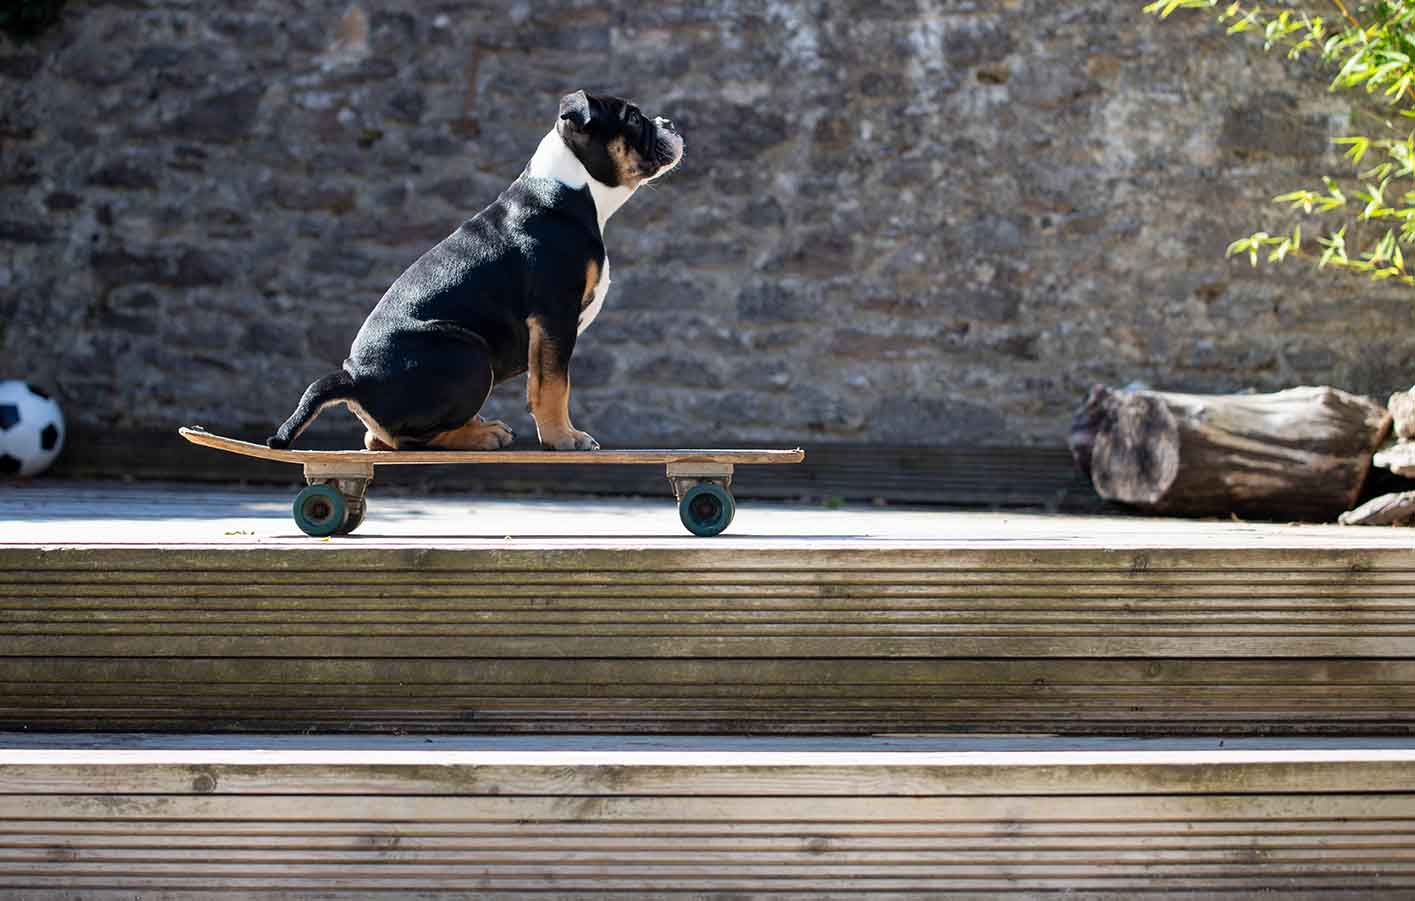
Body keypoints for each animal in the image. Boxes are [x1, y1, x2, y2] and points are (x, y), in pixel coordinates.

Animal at [268, 93, 684, 449]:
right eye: (634, 119)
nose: (669, 122)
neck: (571, 184)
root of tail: (355, 378)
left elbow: (548, 382)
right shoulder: (554, 315)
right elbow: (553, 384)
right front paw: (564, 438)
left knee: (377, 438)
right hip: (470, 354)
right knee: (411, 440)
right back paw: (483, 435)